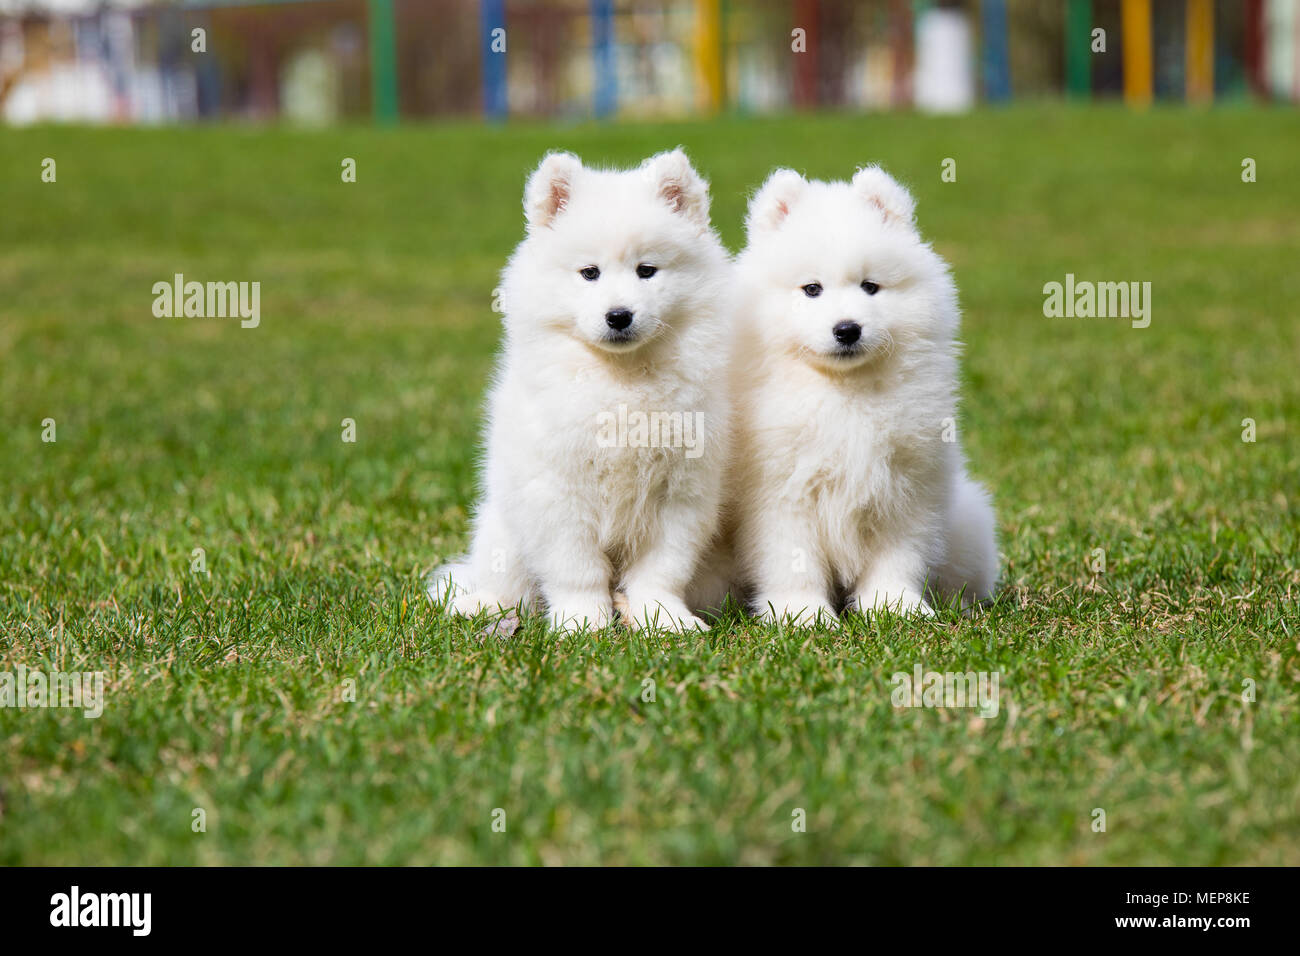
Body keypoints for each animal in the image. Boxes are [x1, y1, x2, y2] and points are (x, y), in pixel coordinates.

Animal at [428, 149, 728, 634]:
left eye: (647, 271)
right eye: (590, 273)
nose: (618, 315)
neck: (621, 380)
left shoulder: (680, 493)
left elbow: (661, 570)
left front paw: (664, 619)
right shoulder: (558, 492)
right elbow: (578, 570)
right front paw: (582, 624)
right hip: (502, 529)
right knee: (507, 585)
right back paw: (478, 606)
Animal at [733, 167, 993, 624]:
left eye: (870, 287)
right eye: (812, 289)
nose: (847, 328)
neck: (843, 392)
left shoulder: (905, 485)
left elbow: (898, 557)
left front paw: (895, 608)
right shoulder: (781, 493)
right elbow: (792, 561)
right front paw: (803, 615)